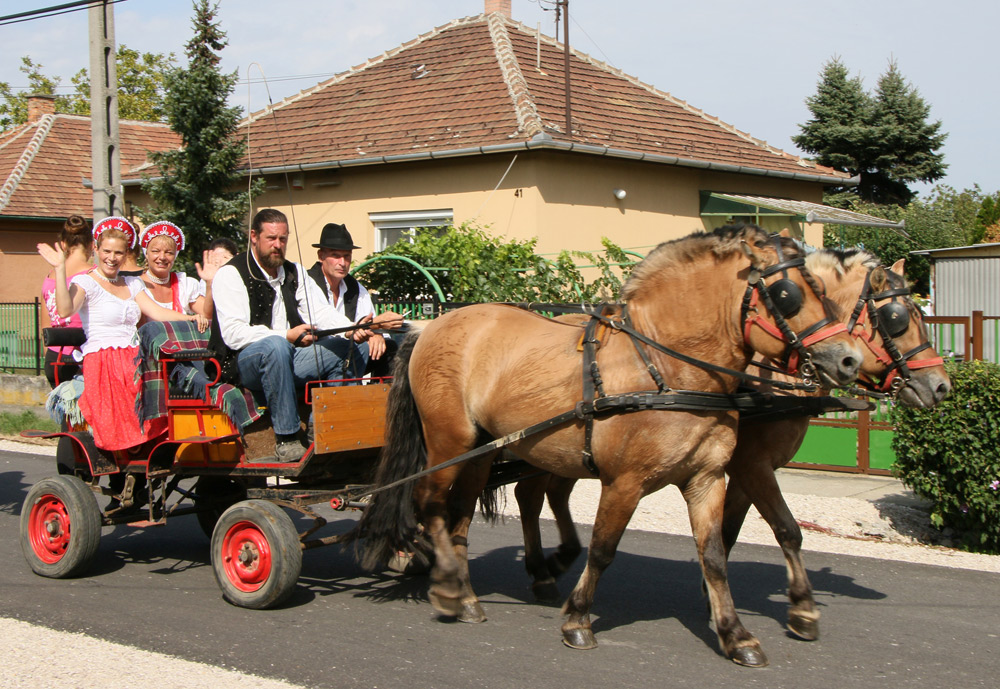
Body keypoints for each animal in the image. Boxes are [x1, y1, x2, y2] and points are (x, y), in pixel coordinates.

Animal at [355, 224, 863, 667]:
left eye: (819, 286)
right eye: (788, 294)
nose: (848, 360)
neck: (665, 365)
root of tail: (429, 326)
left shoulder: (707, 478)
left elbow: (715, 555)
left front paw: (736, 635)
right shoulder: (625, 482)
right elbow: (602, 548)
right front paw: (578, 619)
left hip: (482, 451)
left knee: (461, 515)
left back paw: (466, 595)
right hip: (449, 442)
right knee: (431, 504)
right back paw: (446, 587)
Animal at [511, 247, 951, 643]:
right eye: (896, 318)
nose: (942, 386)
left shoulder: (735, 472)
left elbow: (727, 534)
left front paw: (718, 598)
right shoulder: (752, 465)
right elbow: (787, 529)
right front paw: (801, 610)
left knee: (544, 494)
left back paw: (553, 563)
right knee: (532, 496)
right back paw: (544, 569)